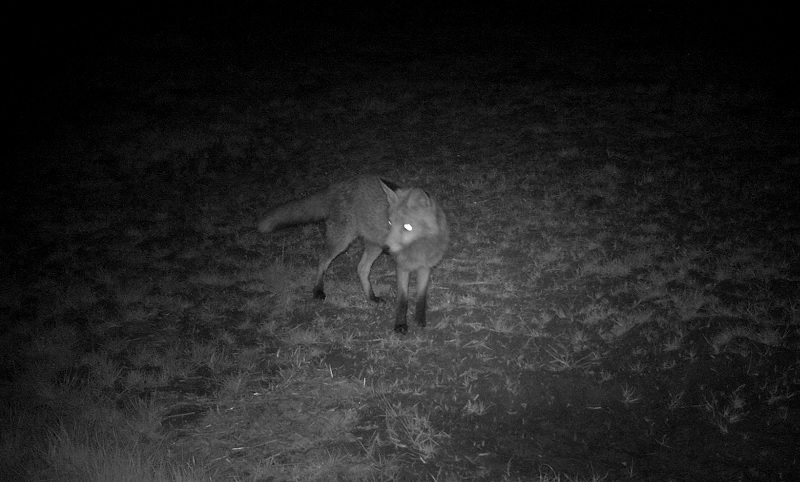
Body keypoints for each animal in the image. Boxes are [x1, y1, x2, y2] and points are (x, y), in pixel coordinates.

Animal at [260, 175, 454, 334]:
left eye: (407, 227)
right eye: (390, 223)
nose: (388, 249)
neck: (419, 247)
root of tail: (340, 183)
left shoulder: (426, 267)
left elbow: (421, 297)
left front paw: (420, 320)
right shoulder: (402, 268)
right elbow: (403, 299)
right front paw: (400, 325)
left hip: (374, 247)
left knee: (361, 268)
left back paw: (371, 297)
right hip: (342, 242)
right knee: (322, 260)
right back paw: (317, 290)